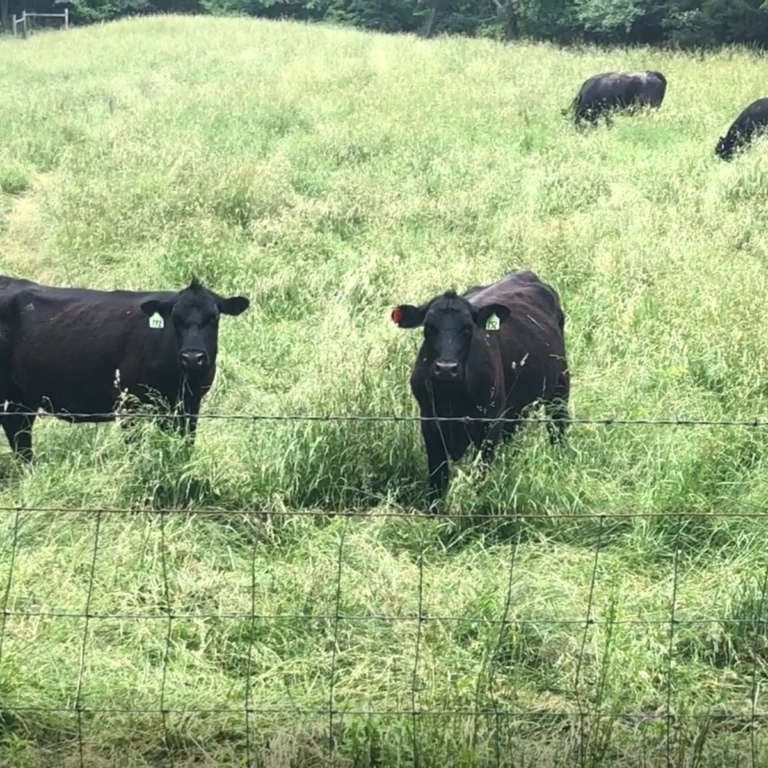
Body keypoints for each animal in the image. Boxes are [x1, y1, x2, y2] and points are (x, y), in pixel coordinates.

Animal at [0, 275, 250, 461]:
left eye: (214, 317)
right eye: (176, 318)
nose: (192, 357)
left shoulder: (189, 404)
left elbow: (185, 444)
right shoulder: (130, 403)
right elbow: (135, 448)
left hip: (22, 397)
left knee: (19, 432)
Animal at [391, 270, 570, 501]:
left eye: (468, 328)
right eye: (429, 328)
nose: (446, 368)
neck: (451, 397)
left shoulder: (490, 425)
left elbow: (480, 474)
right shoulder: (429, 424)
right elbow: (438, 479)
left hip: (560, 386)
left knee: (558, 427)